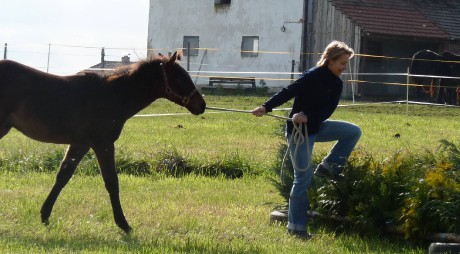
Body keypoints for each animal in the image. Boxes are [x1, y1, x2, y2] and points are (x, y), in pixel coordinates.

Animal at [0, 52, 205, 234]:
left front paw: (45, 215)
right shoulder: (103, 143)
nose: (201, 105)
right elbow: (111, 181)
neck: (111, 96)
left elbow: (63, 176)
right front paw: (124, 225)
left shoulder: (80, 144)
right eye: (181, 79)